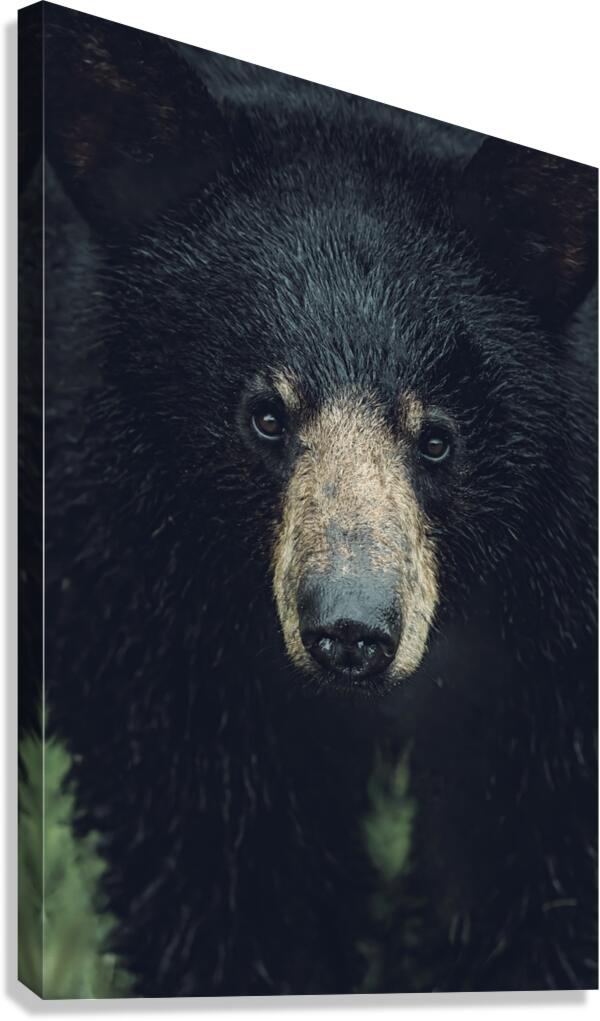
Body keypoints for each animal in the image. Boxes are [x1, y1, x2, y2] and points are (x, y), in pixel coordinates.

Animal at [20, 2, 597, 998]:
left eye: (437, 436)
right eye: (264, 415)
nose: (352, 630)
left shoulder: (561, 608)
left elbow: (533, 849)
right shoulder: (131, 557)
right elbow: (216, 849)